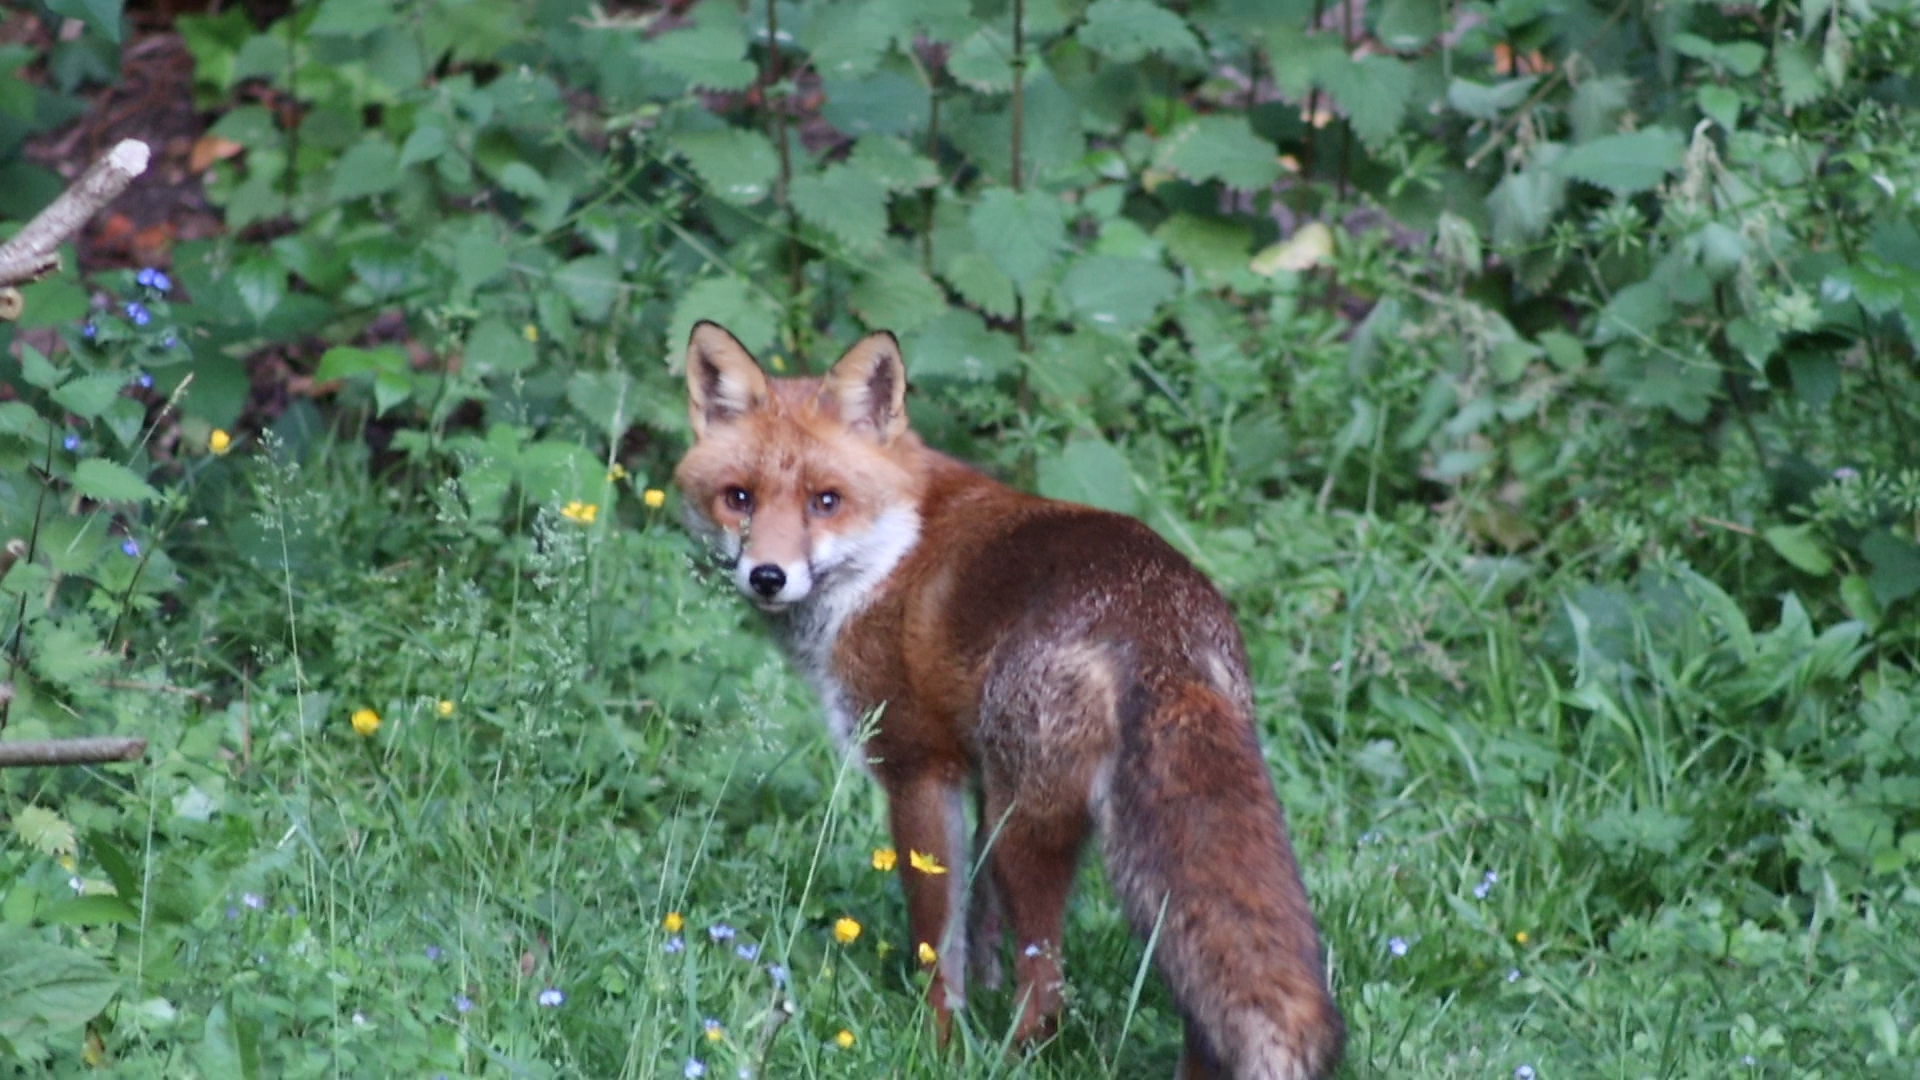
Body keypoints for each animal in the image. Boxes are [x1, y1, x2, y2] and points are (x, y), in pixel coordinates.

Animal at [673, 321, 1343, 1080]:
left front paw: (936, 1043)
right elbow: (979, 925)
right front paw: (976, 1000)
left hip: (1027, 822)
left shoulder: (919, 768)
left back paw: (1011, 1057)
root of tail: (1158, 618)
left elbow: (940, 943)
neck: (891, 556)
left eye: (826, 500)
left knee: (1049, 991)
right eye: (739, 498)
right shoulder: (977, 777)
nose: (767, 576)